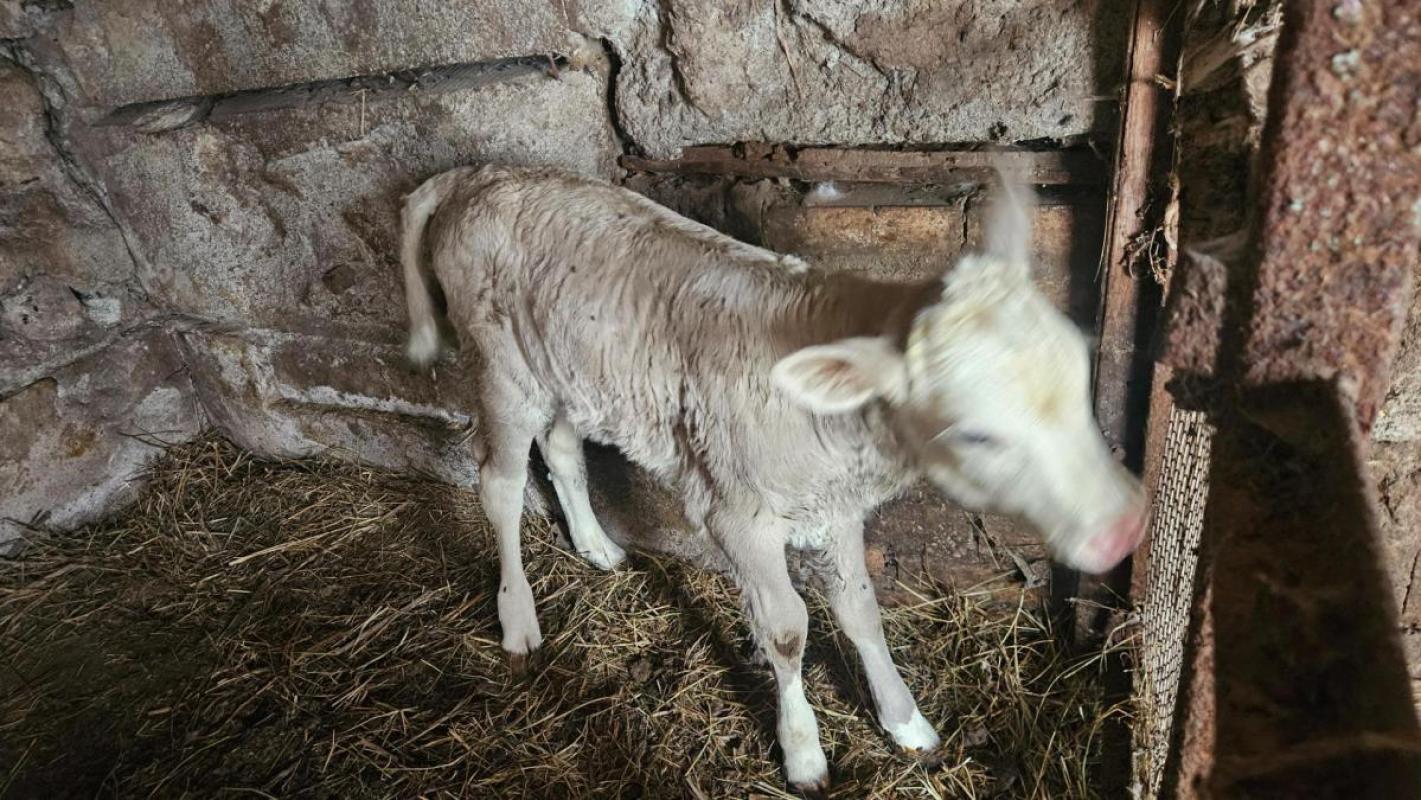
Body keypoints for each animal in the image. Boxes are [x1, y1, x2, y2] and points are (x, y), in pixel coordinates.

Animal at [399, 164, 1146, 794]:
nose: (1124, 526)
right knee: (498, 485)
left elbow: (860, 609)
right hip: (501, 366)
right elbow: (787, 630)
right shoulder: (736, 515)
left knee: (560, 448)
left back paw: (596, 546)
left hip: (563, 368)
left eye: (1079, 371)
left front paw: (905, 721)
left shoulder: (836, 507)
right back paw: (518, 621)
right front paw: (805, 753)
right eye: (975, 434)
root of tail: (474, 175)